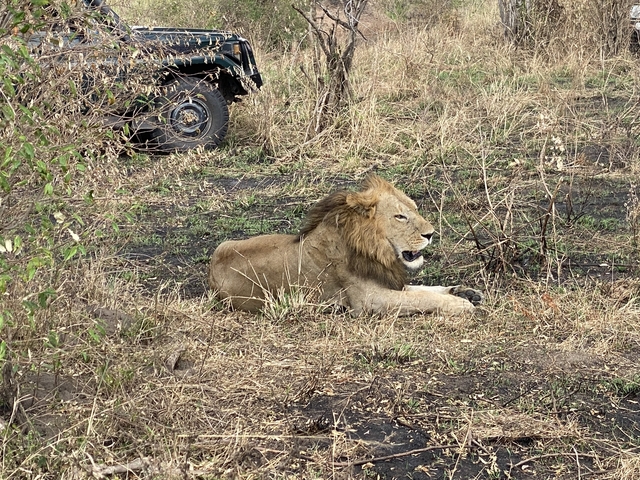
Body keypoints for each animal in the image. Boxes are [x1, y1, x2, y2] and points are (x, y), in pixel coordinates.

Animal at [208, 175, 483, 316]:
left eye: (415, 209)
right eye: (400, 216)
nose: (431, 234)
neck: (375, 249)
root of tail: (212, 266)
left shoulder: (388, 281)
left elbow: (427, 289)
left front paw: (465, 292)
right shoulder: (370, 300)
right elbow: (423, 298)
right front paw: (459, 304)